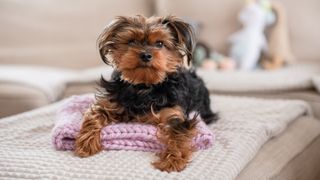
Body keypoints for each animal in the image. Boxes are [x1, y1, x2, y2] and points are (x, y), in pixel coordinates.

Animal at [74, 15, 219, 172]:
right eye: (131, 41)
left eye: (160, 43)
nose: (145, 55)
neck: (144, 86)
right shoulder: (112, 103)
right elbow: (95, 114)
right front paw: (86, 143)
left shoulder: (175, 114)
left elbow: (178, 135)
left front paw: (172, 161)